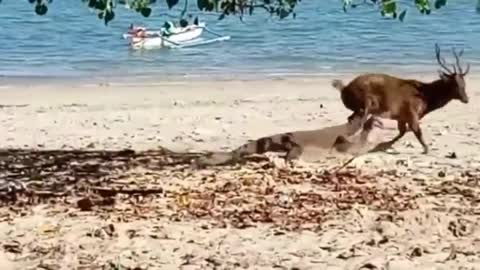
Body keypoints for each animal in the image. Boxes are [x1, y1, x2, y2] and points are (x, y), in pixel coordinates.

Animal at [330, 43, 468, 154]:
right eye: (455, 84)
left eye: (464, 83)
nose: (466, 99)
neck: (426, 99)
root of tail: (344, 88)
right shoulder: (411, 112)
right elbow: (416, 131)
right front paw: (426, 149)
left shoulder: (401, 117)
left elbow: (403, 131)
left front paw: (385, 144)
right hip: (366, 102)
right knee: (359, 122)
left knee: (353, 120)